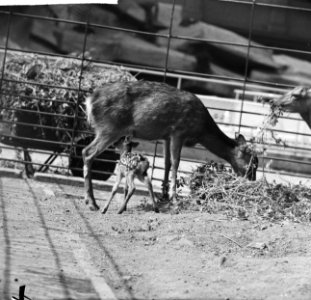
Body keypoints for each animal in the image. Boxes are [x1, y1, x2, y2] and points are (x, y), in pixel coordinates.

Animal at [83, 79, 258, 211]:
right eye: (252, 165)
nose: (251, 182)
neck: (201, 130)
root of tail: (89, 101)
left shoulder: (166, 136)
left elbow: (166, 163)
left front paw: (164, 195)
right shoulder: (178, 131)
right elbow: (175, 163)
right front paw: (174, 199)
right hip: (109, 128)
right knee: (87, 152)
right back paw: (92, 202)